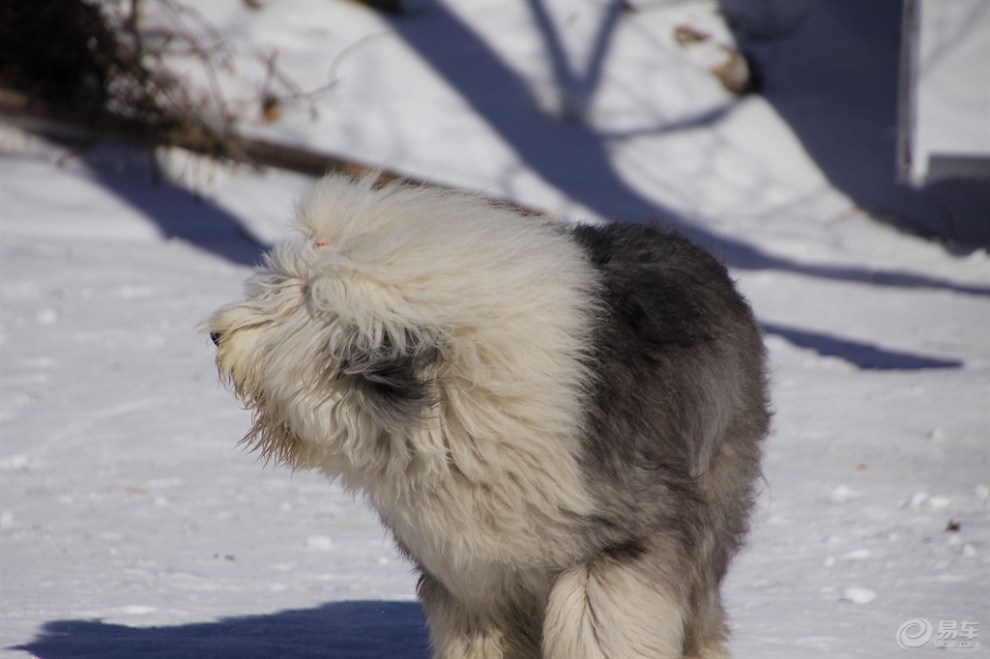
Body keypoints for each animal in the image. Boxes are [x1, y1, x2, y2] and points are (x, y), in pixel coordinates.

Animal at [205, 173, 772, 656]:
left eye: (301, 295)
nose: (215, 334)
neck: (451, 397)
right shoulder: (474, 581)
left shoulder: (618, 552)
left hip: (711, 501)